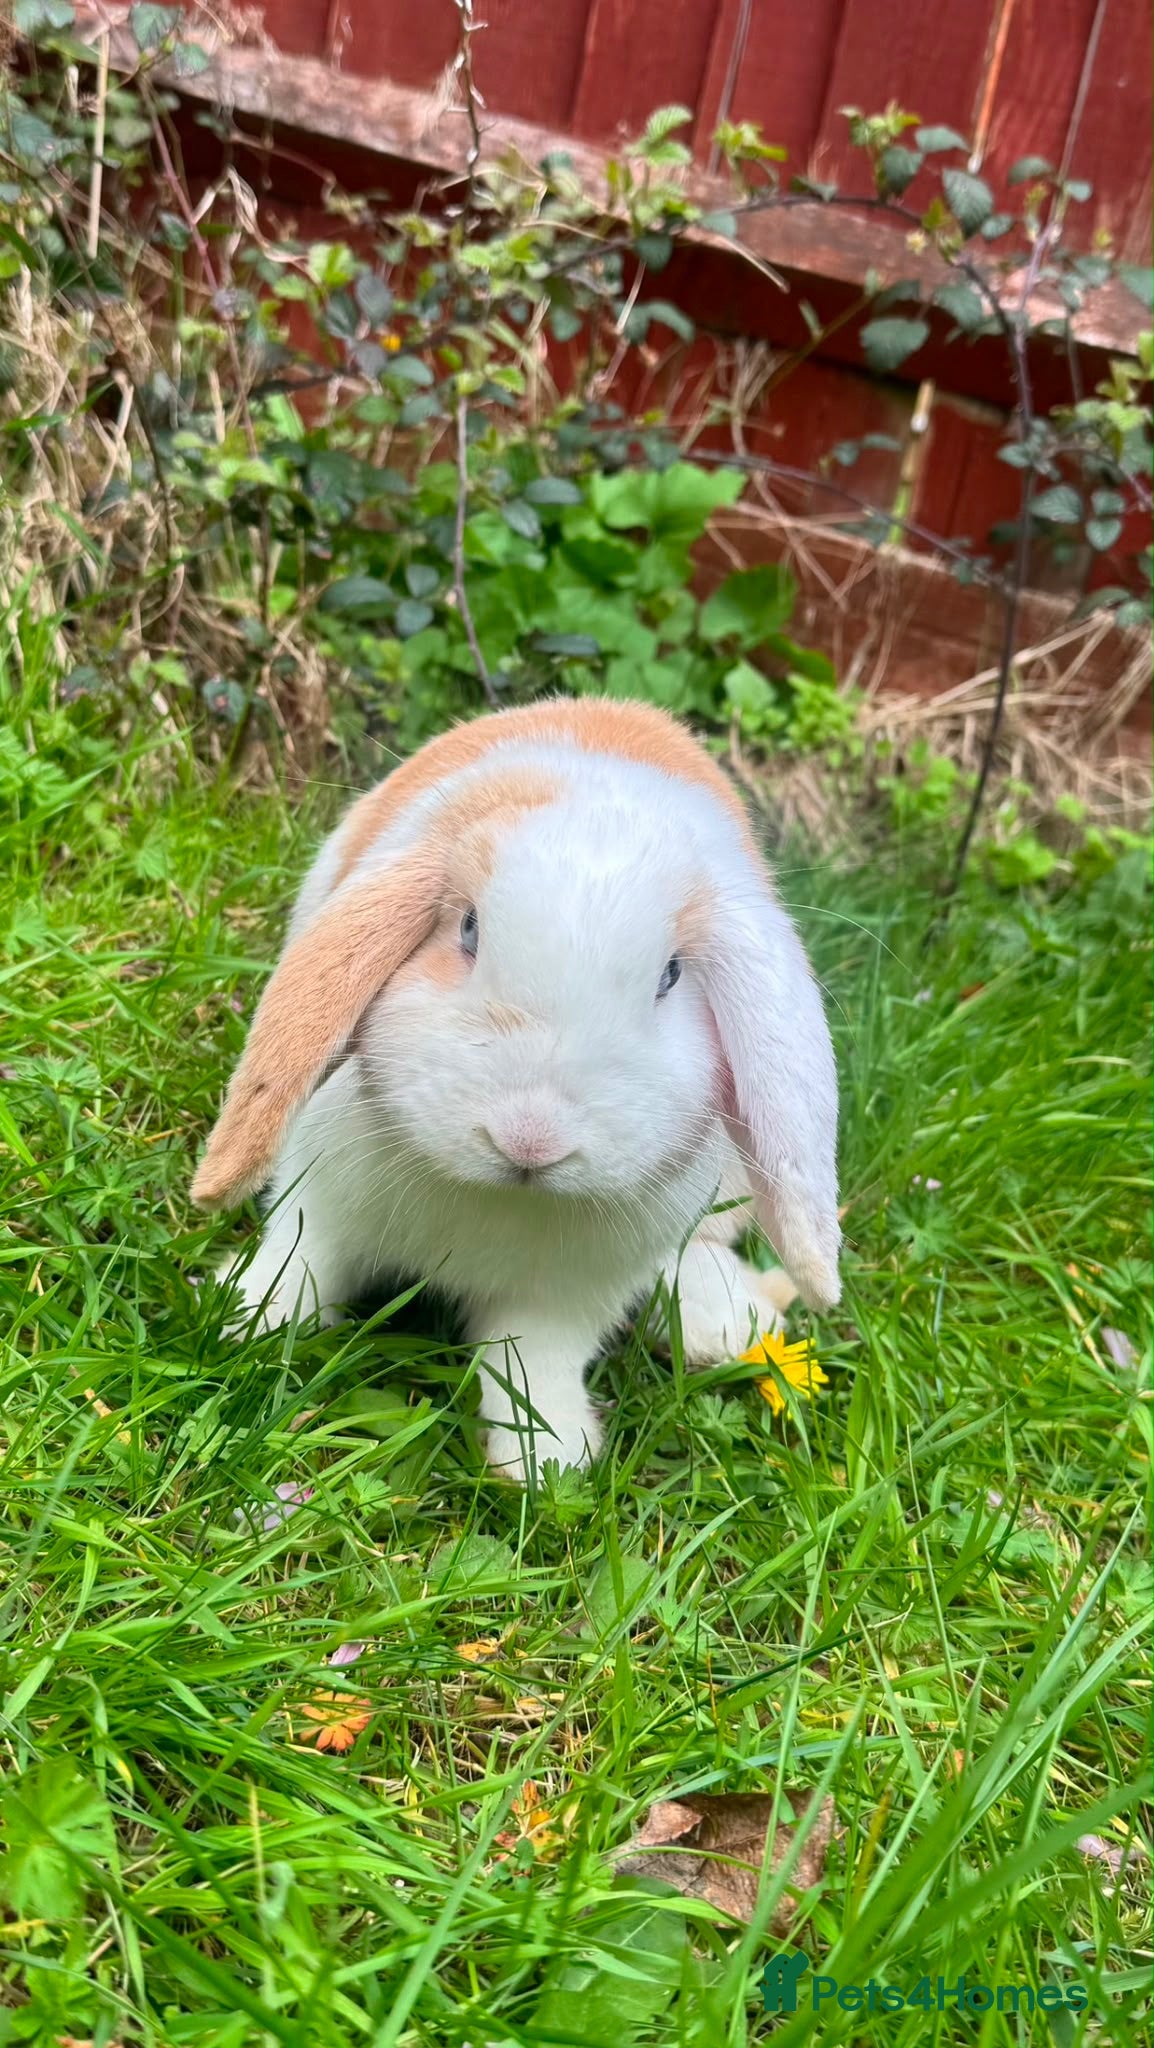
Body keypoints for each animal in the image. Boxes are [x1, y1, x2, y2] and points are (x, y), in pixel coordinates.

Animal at [191, 697, 840, 1481]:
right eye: (468, 930)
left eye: (671, 976)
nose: (531, 1138)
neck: (502, 1197)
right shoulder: (322, 1206)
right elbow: (301, 1265)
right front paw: (240, 1322)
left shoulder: (566, 1299)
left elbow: (535, 1367)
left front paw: (548, 1464)